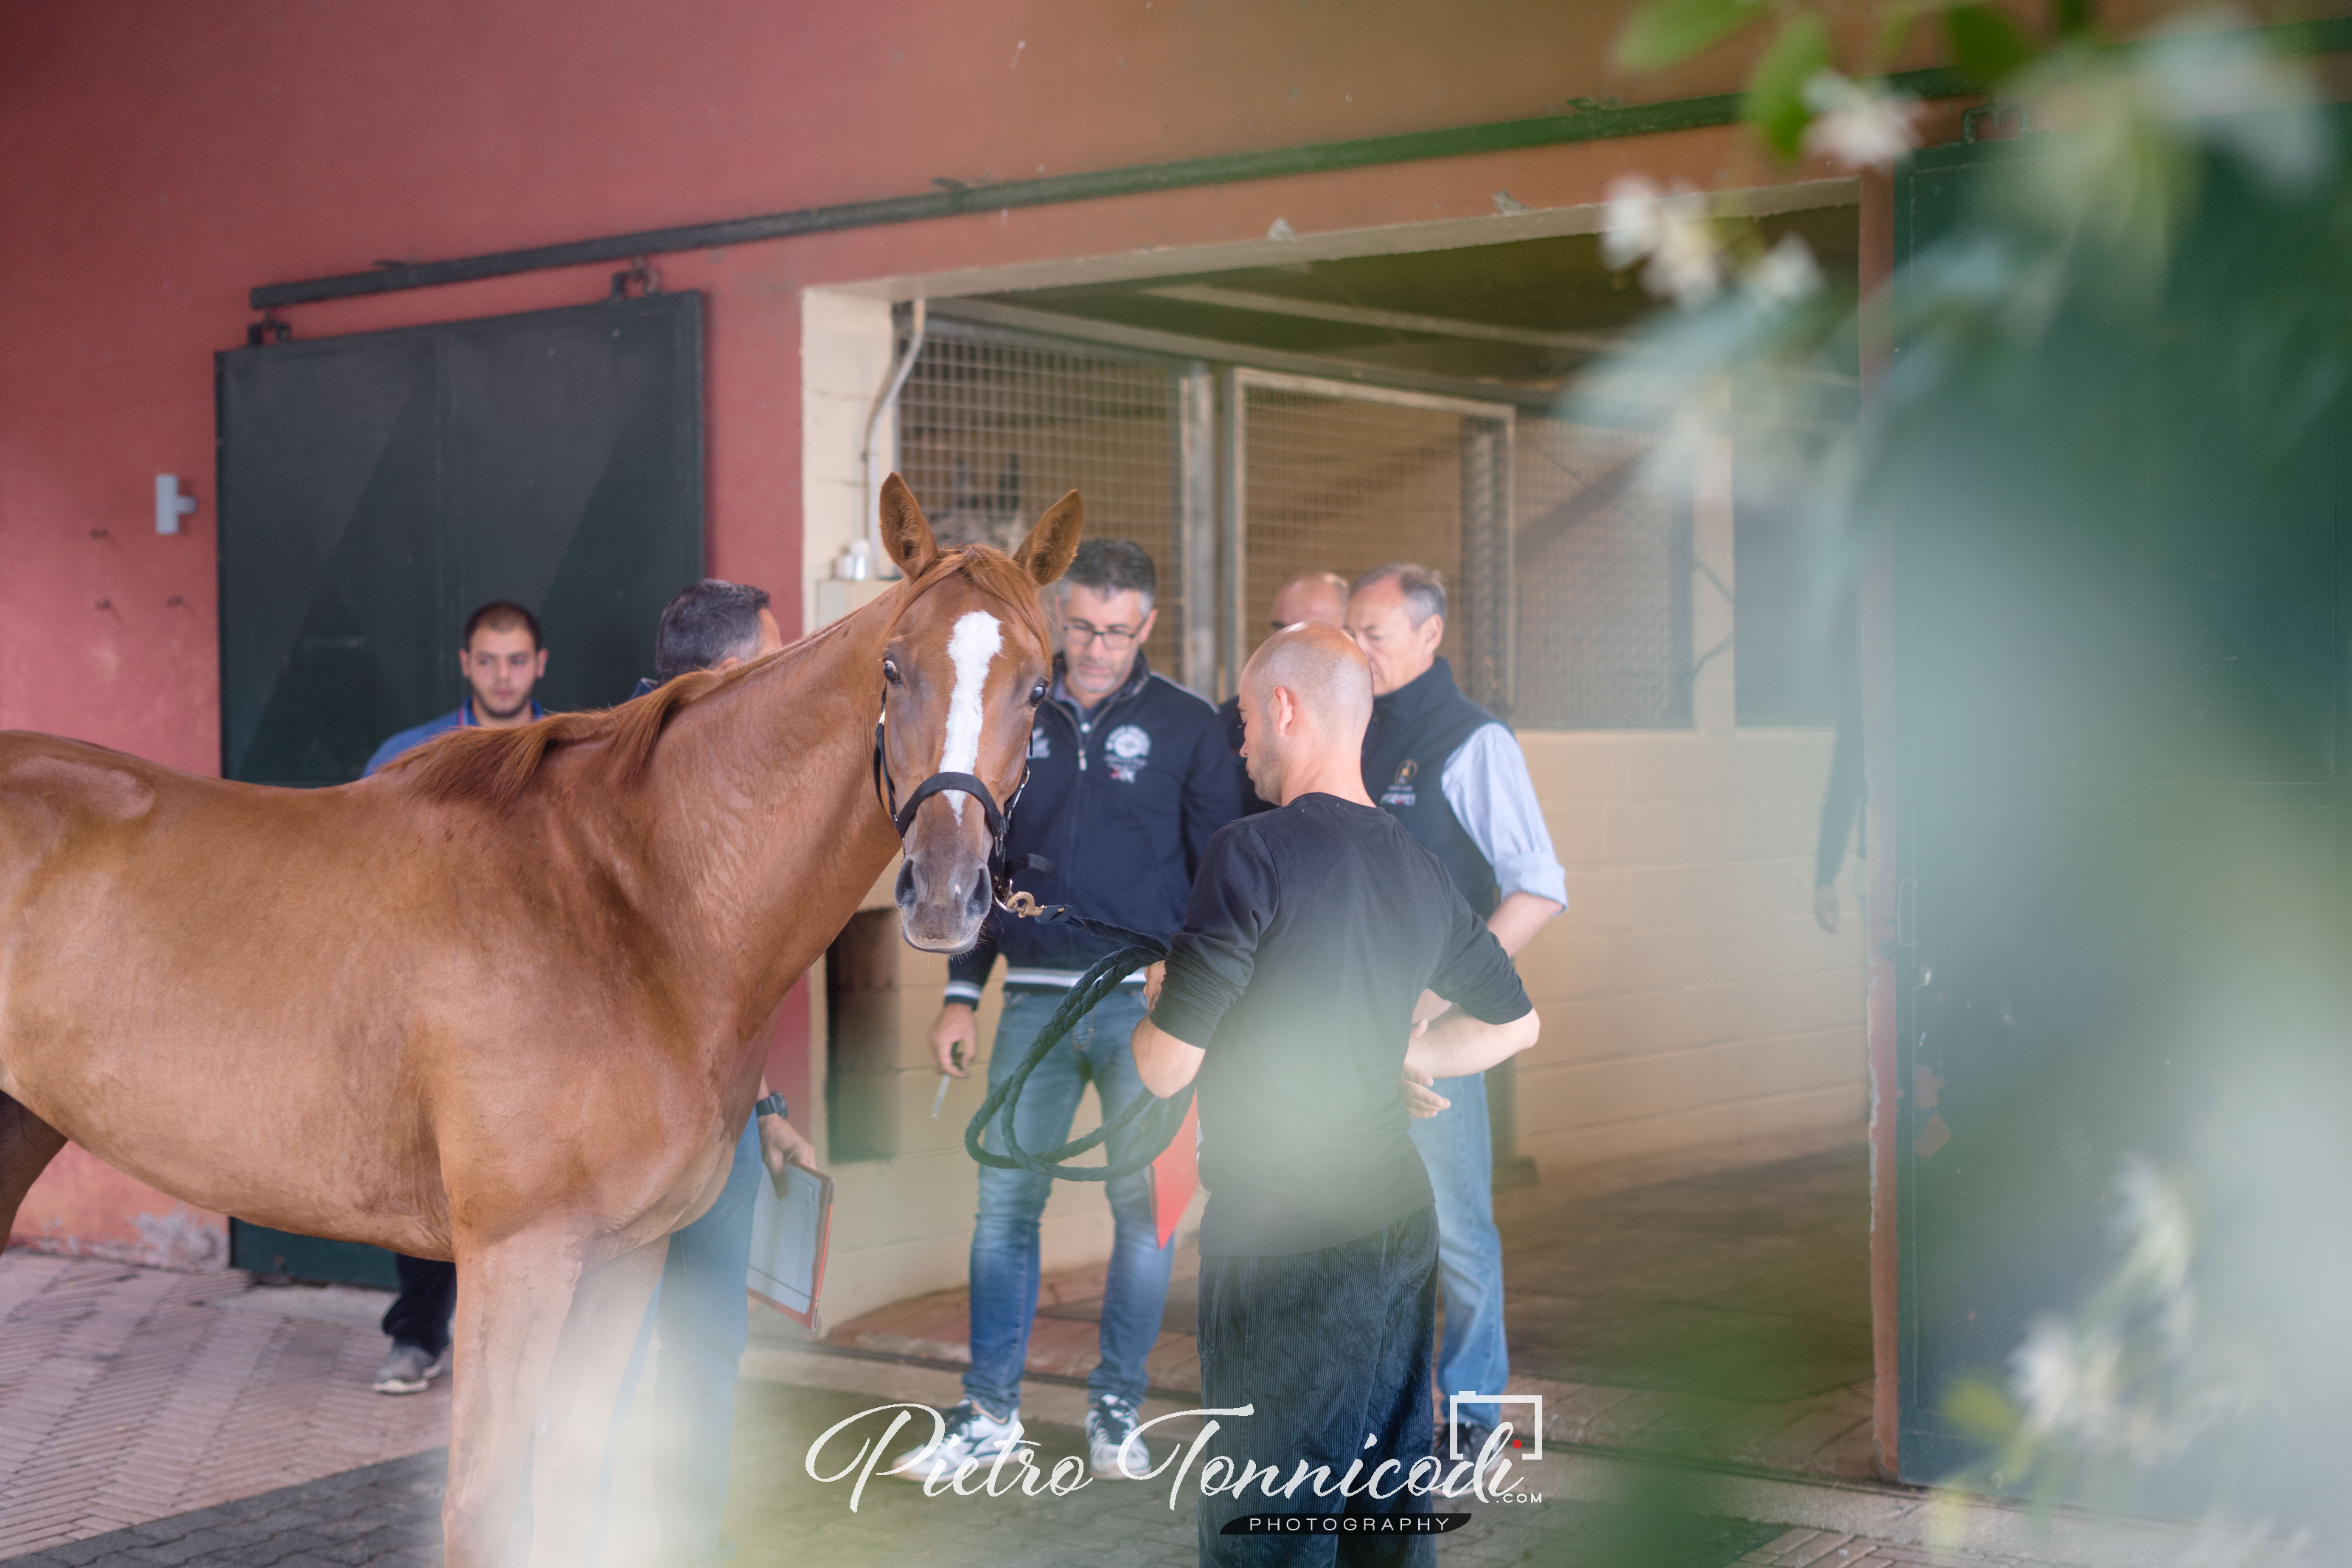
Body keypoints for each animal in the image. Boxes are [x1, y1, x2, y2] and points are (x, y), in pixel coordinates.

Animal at [0, 479, 1077, 1568]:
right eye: (894, 666)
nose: (943, 891)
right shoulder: (516, 1259)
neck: (627, 902)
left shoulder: (624, 1255)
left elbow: (569, 1481)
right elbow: (484, 1503)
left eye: (1038, 687)